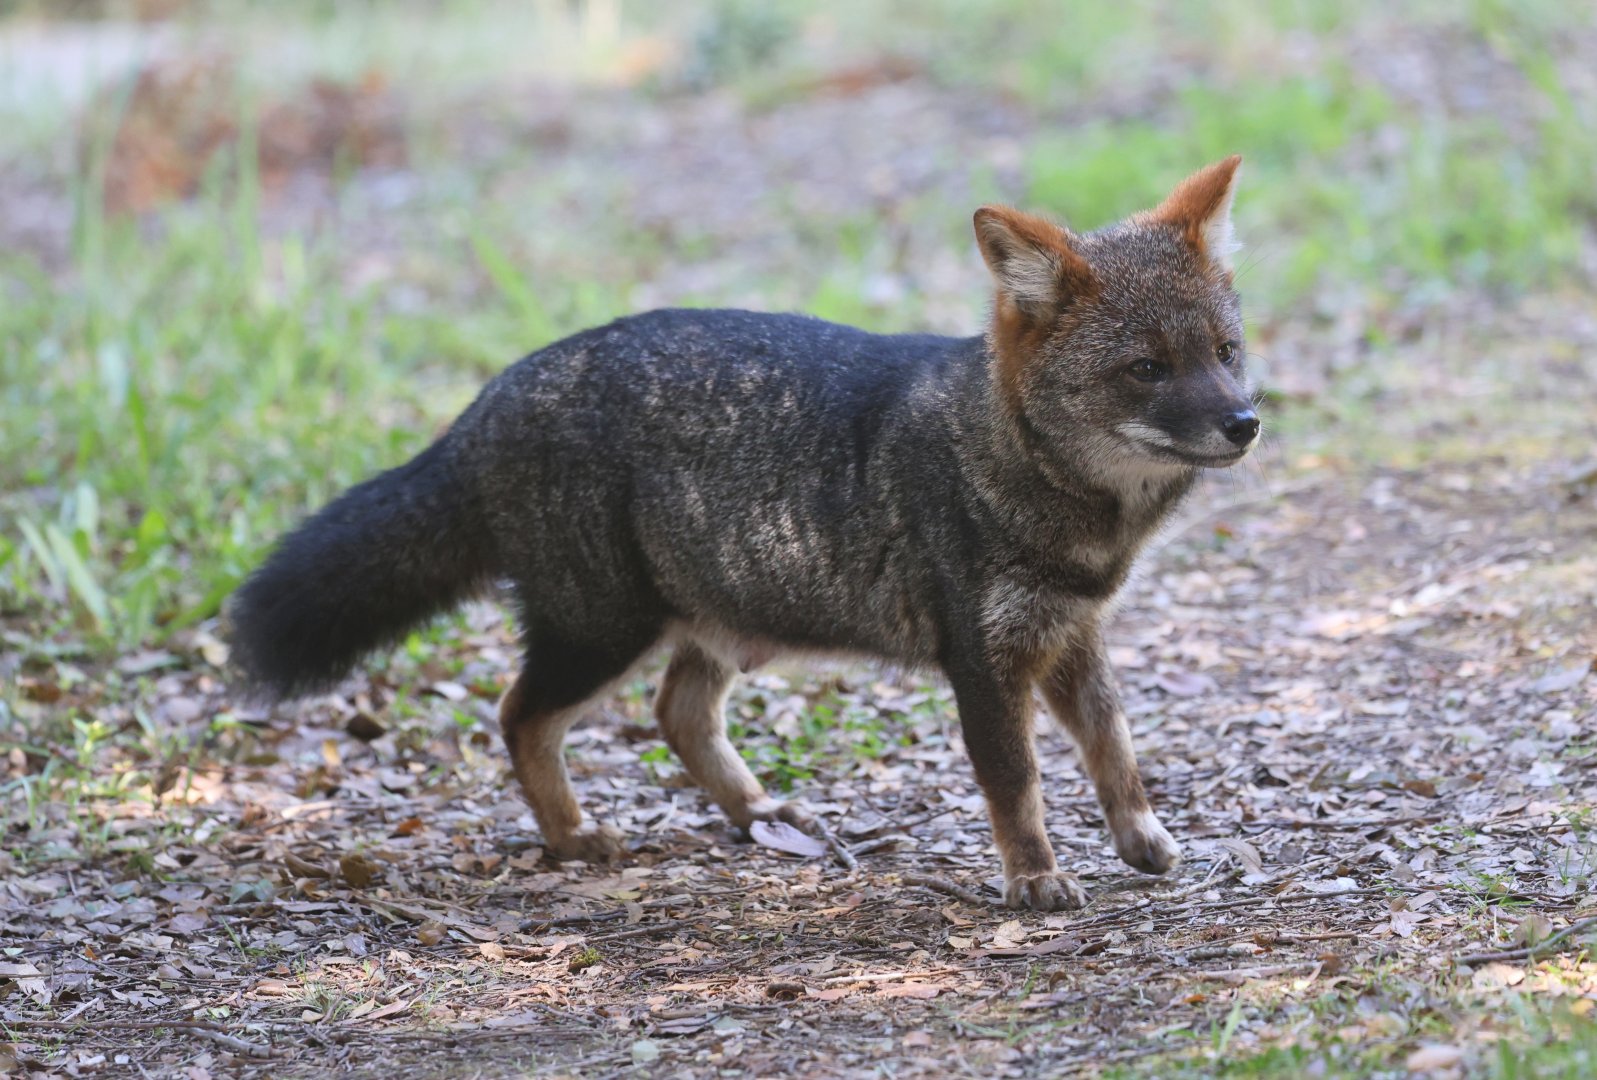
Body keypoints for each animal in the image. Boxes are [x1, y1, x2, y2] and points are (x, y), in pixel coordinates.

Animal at [227, 157, 1259, 911]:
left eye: (1224, 352)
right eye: (1145, 367)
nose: (1246, 422)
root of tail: (488, 397)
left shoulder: (1070, 632)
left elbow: (1112, 745)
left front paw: (1140, 837)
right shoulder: (985, 658)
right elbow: (1018, 780)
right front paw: (1035, 876)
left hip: (717, 620)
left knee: (676, 711)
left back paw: (755, 810)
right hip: (602, 631)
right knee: (522, 715)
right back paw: (571, 837)